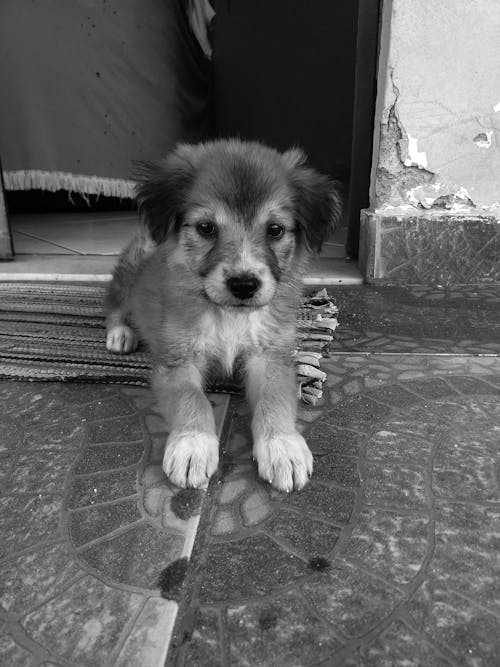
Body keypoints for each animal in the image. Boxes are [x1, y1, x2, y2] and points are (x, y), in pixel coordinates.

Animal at [104, 140, 340, 490]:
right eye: (206, 227)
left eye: (275, 230)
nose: (244, 285)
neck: (229, 316)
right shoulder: (177, 362)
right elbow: (192, 398)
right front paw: (192, 444)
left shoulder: (271, 357)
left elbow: (274, 399)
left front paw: (282, 446)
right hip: (131, 268)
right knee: (115, 303)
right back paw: (121, 333)